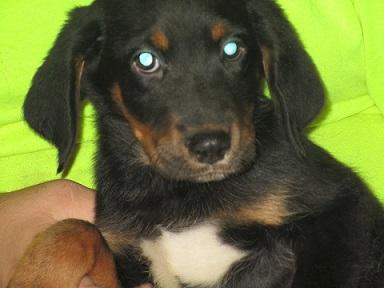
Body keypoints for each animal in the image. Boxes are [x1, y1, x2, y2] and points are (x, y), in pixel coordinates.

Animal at [8, 0, 384, 288]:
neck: (178, 192)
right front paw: (32, 279)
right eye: (145, 60)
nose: (211, 147)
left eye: (232, 49)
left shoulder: (341, 207)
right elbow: (74, 229)